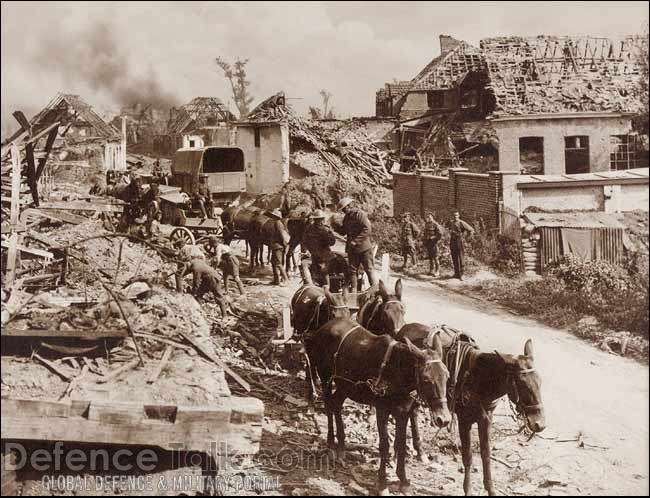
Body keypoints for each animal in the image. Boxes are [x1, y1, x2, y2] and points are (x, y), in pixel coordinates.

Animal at [306, 320, 450, 494]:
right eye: (426, 379)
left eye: (447, 376)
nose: (444, 419)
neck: (397, 372)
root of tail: (323, 328)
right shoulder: (382, 410)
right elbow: (384, 446)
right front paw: (382, 484)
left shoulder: (403, 413)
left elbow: (400, 446)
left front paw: (403, 480)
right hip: (325, 377)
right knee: (328, 404)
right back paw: (331, 445)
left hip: (345, 385)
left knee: (336, 404)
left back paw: (341, 446)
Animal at [398, 324, 544, 496]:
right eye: (522, 384)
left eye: (540, 382)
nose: (540, 424)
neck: (479, 379)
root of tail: (404, 328)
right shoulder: (464, 421)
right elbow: (467, 456)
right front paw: (468, 489)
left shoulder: (486, 419)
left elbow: (486, 454)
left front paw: (490, 489)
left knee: (413, 412)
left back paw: (420, 452)